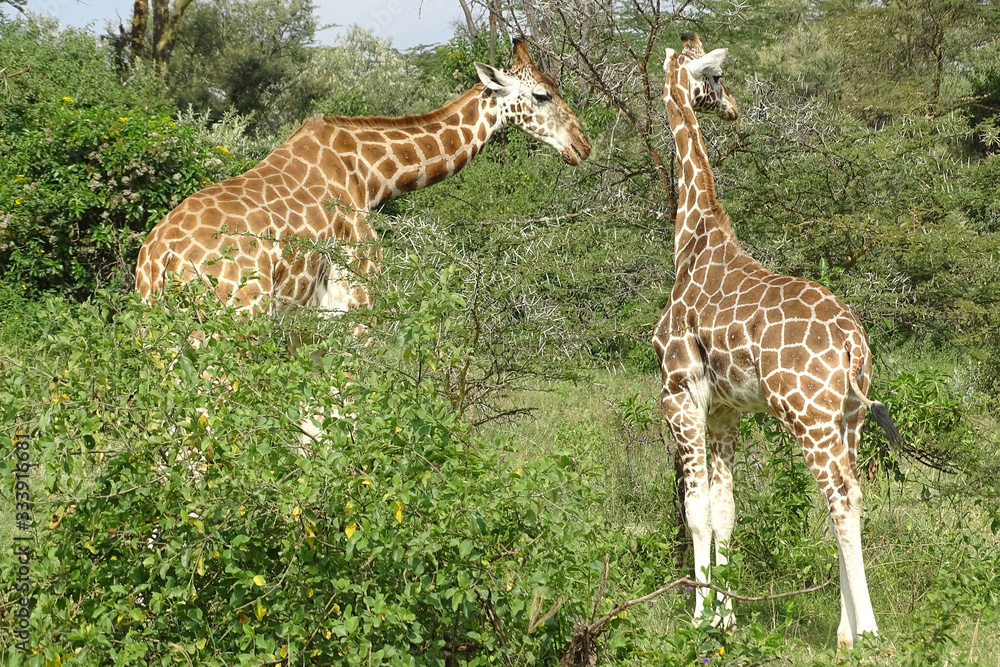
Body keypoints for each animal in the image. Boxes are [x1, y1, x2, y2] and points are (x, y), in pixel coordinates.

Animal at [134, 39, 591, 312]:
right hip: (236, 315)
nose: (583, 145)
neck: (372, 176)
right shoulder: (357, 291)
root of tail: (160, 259)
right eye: (541, 95)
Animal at [651, 33, 902, 649]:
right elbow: (724, 511)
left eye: (714, 78)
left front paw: (699, 618)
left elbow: (695, 510)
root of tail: (853, 340)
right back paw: (843, 630)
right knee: (849, 495)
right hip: (847, 416)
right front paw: (725, 617)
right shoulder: (725, 410)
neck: (692, 239)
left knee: (842, 498)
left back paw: (866, 632)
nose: (732, 107)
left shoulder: (679, 394)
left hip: (807, 414)